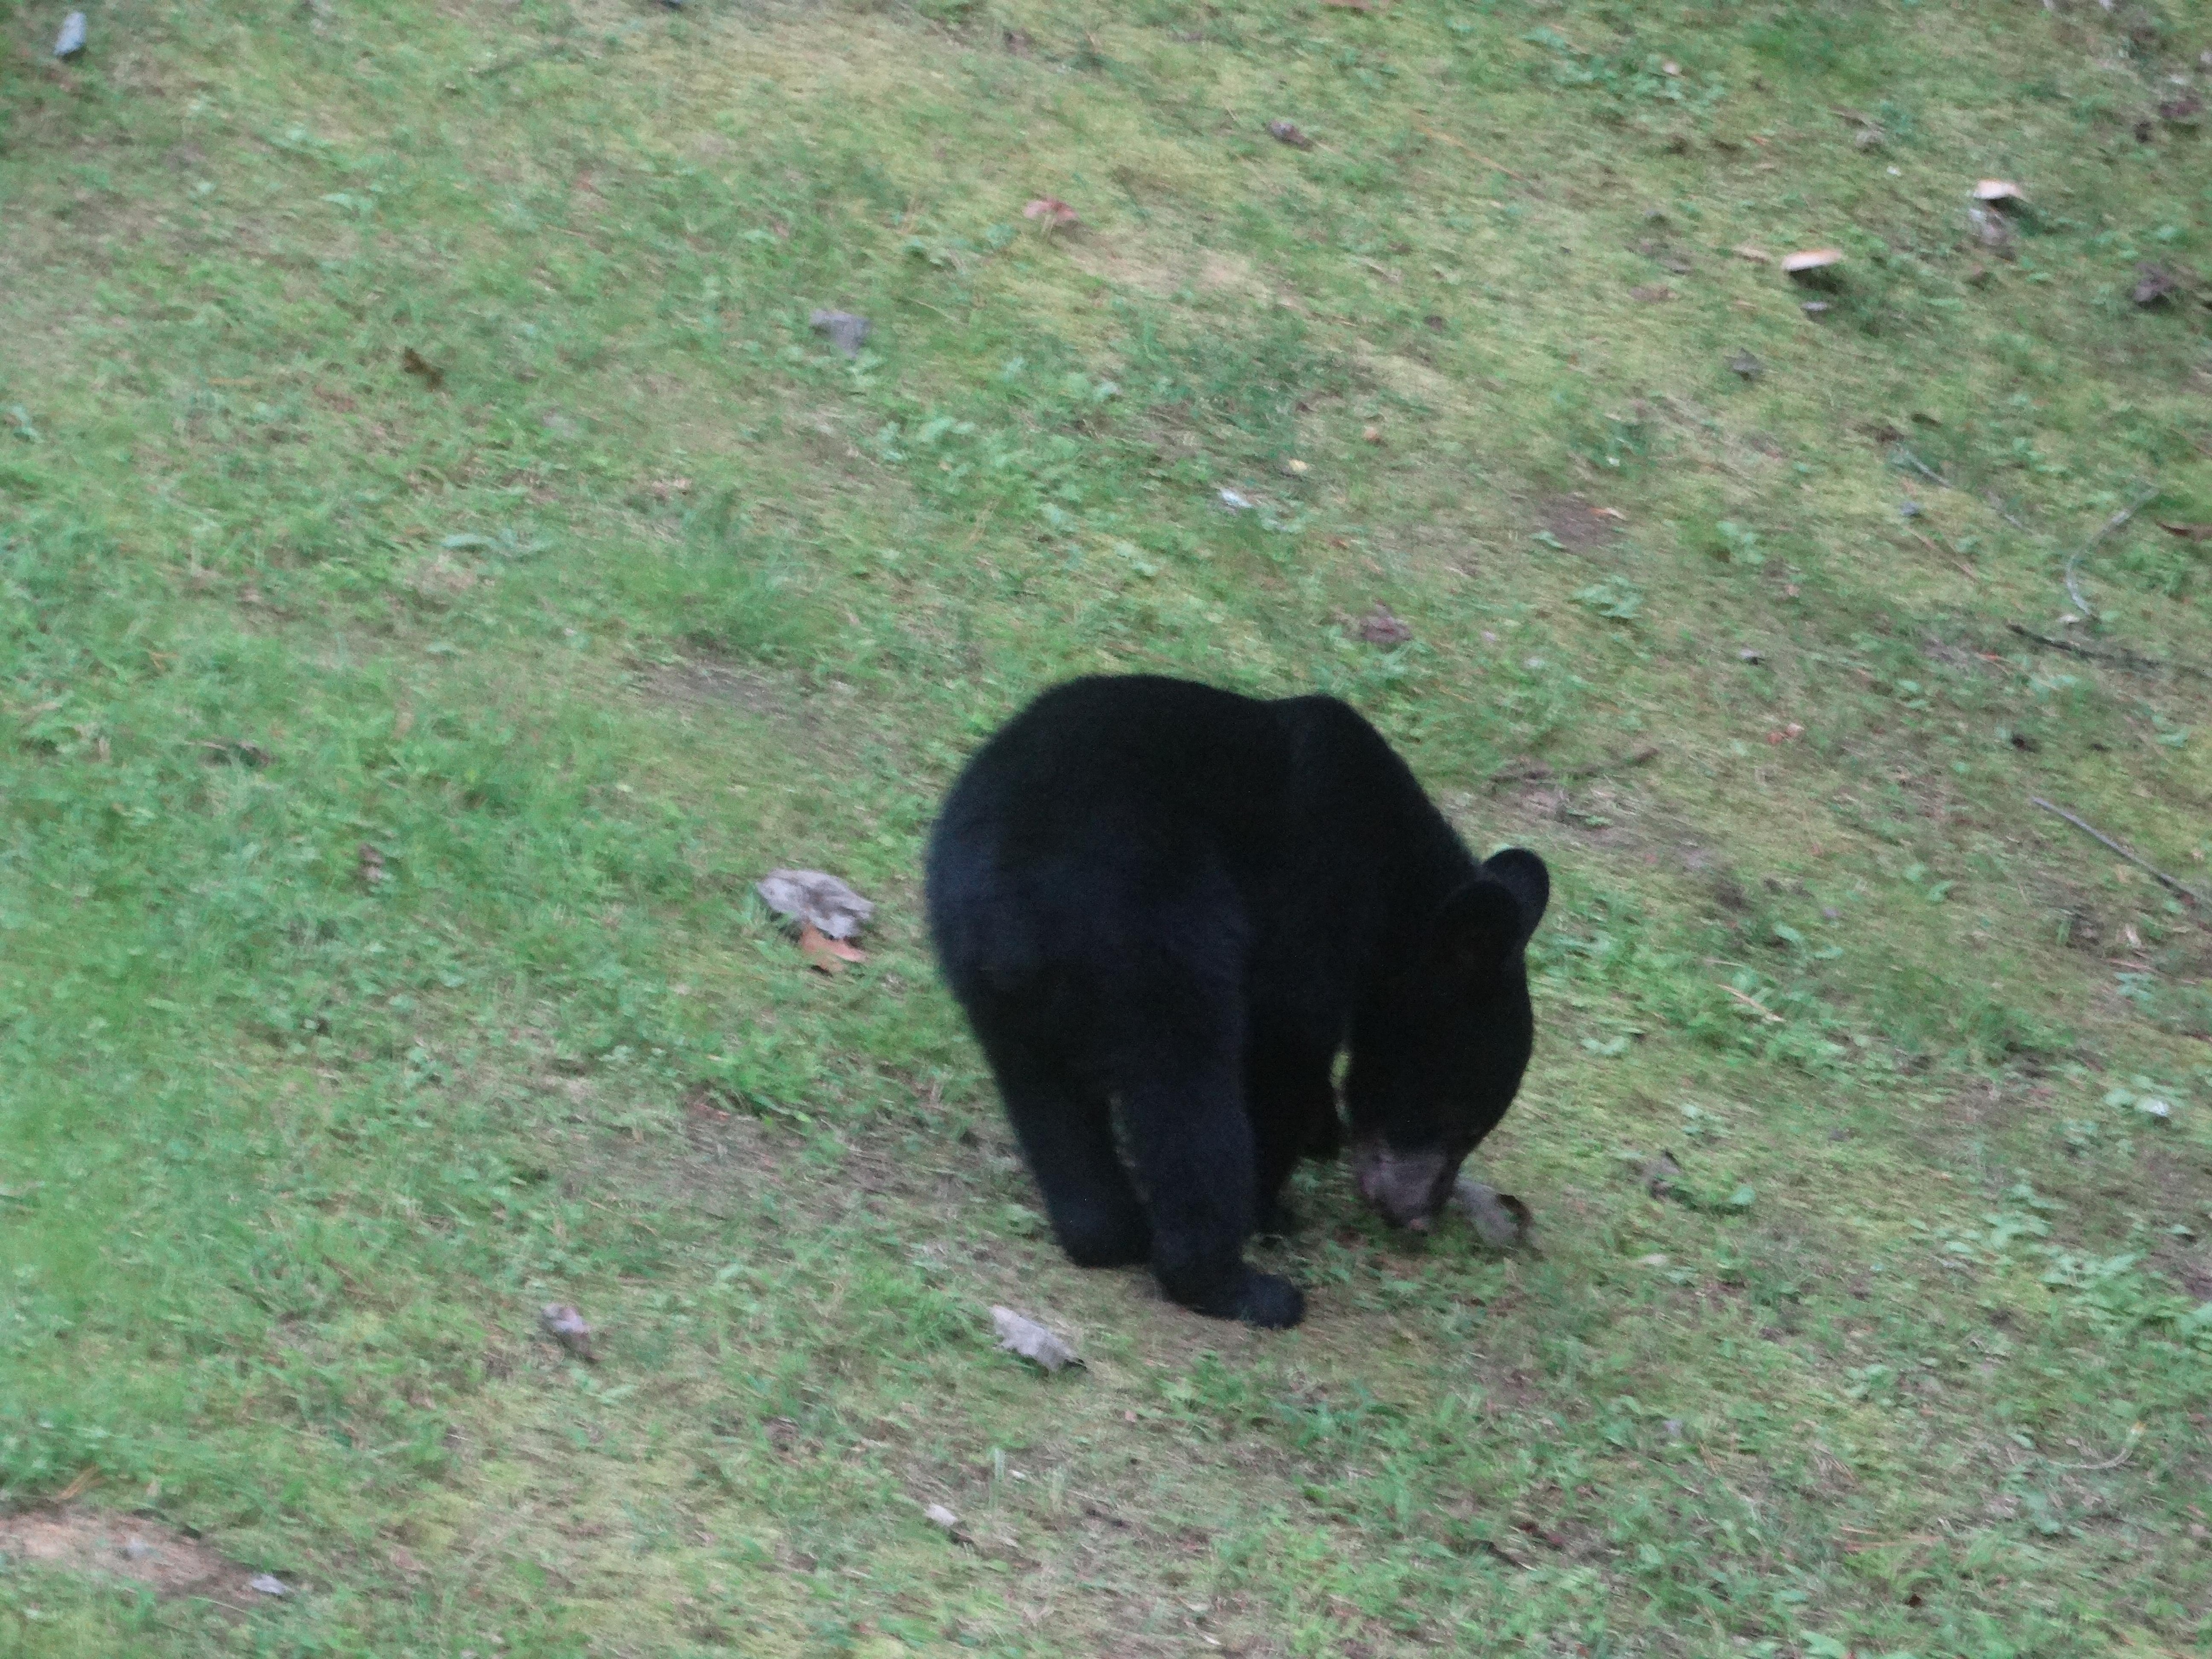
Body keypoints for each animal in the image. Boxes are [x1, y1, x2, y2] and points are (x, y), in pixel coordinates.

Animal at [924, 675, 1549, 1329]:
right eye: (1459, 1118)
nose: (1417, 1216)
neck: (1398, 881)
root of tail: (1013, 909)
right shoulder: (1316, 894)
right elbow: (1284, 1041)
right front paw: (1271, 1207)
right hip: (1155, 949)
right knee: (1192, 1107)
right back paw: (1238, 1287)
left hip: (993, 984)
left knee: (1045, 1099)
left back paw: (1103, 1232)